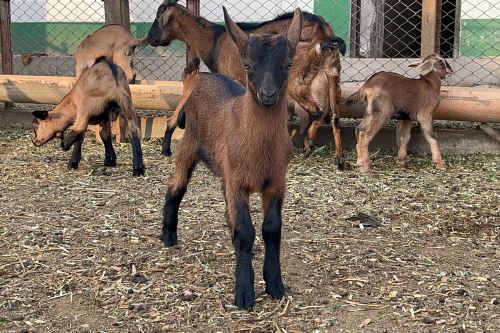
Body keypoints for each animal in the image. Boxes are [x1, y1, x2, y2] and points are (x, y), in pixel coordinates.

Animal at [146, 0, 348, 169]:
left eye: (158, 16)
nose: (149, 39)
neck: (215, 40)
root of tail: (323, 31)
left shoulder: (234, 79)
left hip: (297, 80)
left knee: (317, 111)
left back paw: (308, 146)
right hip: (331, 73)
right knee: (332, 116)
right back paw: (336, 159)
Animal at [161, 7, 300, 308]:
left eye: (288, 64)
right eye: (247, 65)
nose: (268, 94)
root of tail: (199, 78)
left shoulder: (276, 182)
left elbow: (272, 229)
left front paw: (275, 285)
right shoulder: (239, 182)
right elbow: (246, 231)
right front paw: (244, 293)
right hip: (189, 144)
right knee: (175, 187)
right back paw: (168, 235)